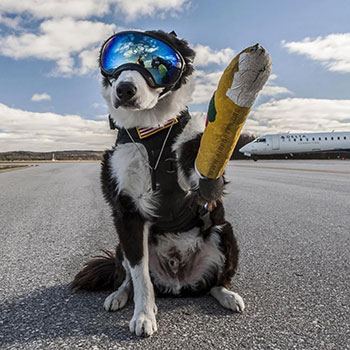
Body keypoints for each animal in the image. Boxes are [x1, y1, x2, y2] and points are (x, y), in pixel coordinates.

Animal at [72, 30, 270, 340]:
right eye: (114, 63)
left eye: (158, 61)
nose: (124, 90)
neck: (151, 130)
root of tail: (179, 282)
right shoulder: (126, 211)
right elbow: (140, 276)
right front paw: (143, 315)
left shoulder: (201, 177)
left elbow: (207, 174)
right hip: (120, 245)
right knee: (127, 277)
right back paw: (119, 295)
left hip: (224, 231)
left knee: (215, 283)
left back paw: (227, 295)